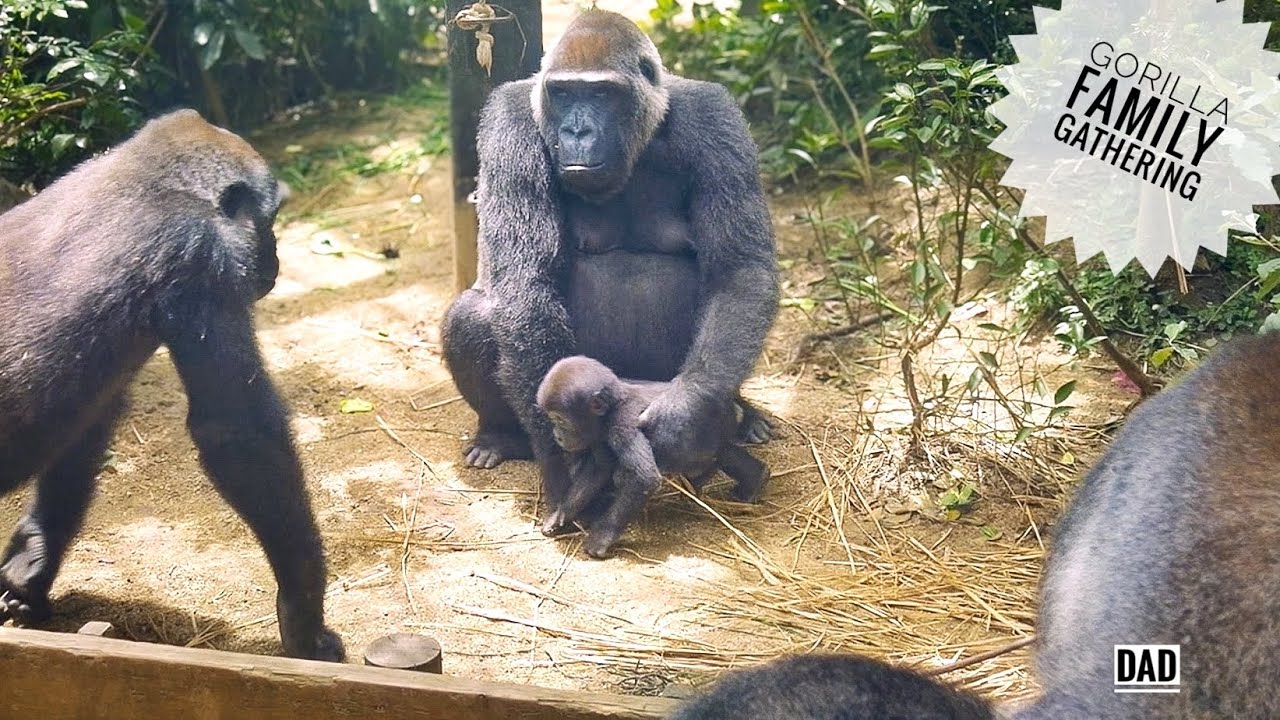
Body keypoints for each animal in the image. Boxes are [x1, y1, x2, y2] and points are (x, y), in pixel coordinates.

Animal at [0, 109, 343, 662]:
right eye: (270, 220)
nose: (274, 262)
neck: (147, 180)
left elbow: (87, 429)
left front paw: (33, 558)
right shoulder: (203, 256)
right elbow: (236, 433)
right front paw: (303, 614)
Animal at [440, 9, 780, 534]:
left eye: (601, 94)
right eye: (563, 94)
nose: (577, 131)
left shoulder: (714, 117)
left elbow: (738, 271)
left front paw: (686, 416)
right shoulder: (511, 121)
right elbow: (525, 283)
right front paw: (567, 470)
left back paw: (742, 414)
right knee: (474, 315)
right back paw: (498, 437)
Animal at [535, 355, 769, 558]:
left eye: (560, 420)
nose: (557, 436)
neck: (613, 406)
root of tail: (732, 406)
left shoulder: (623, 424)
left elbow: (643, 477)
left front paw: (601, 538)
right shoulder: (598, 435)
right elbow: (598, 471)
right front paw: (560, 515)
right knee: (723, 451)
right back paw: (755, 478)